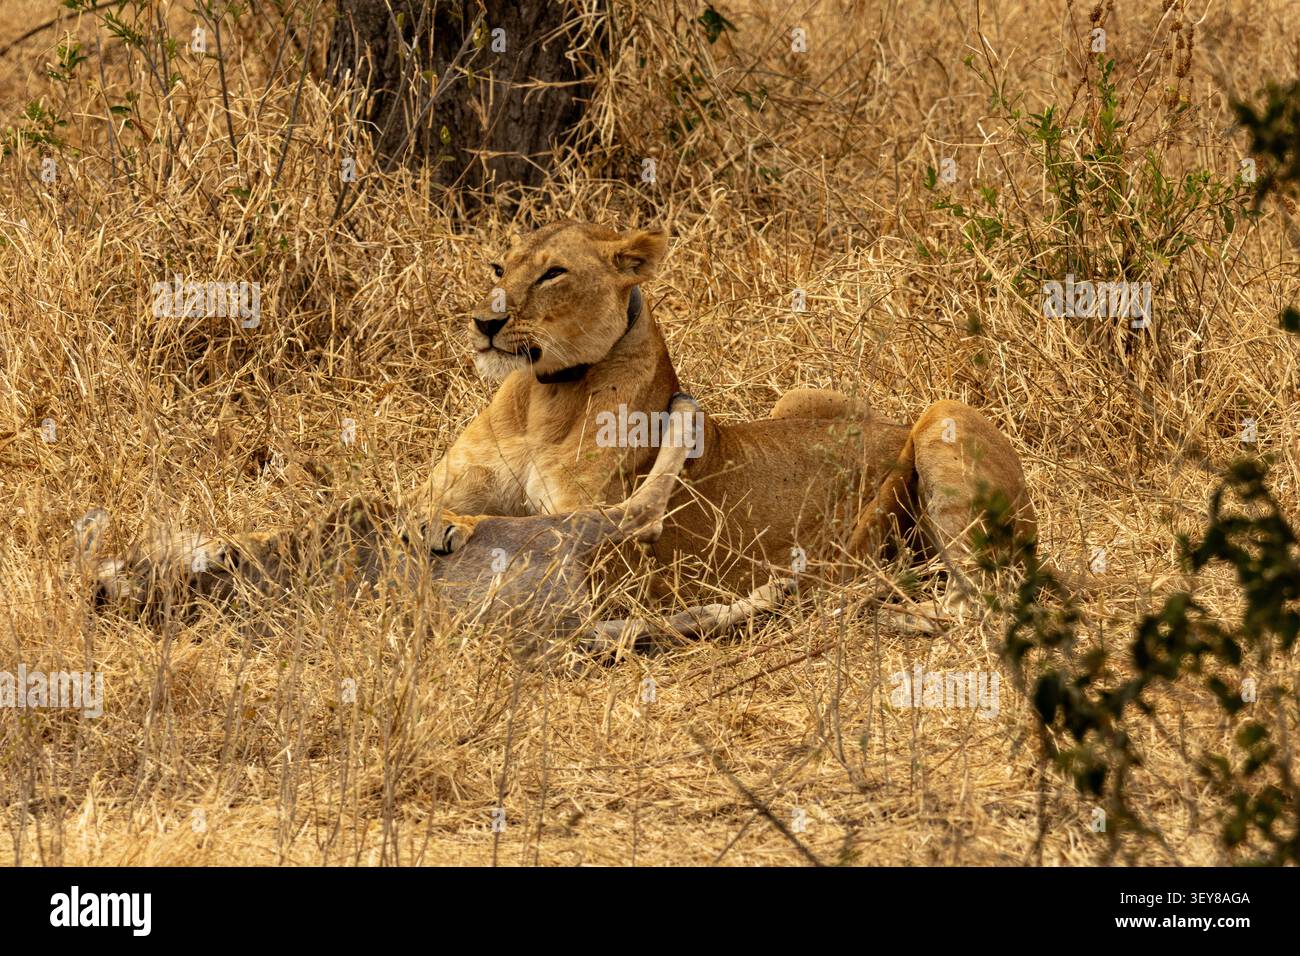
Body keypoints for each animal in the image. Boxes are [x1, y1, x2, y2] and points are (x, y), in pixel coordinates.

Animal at [415, 220, 1038, 628]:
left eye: (553, 274)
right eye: (499, 268)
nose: (484, 322)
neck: (543, 399)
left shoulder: (611, 564)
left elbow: (522, 526)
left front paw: (452, 528)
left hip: (943, 414)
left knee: (978, 602)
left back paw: (865, 606)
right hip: (799, 397)